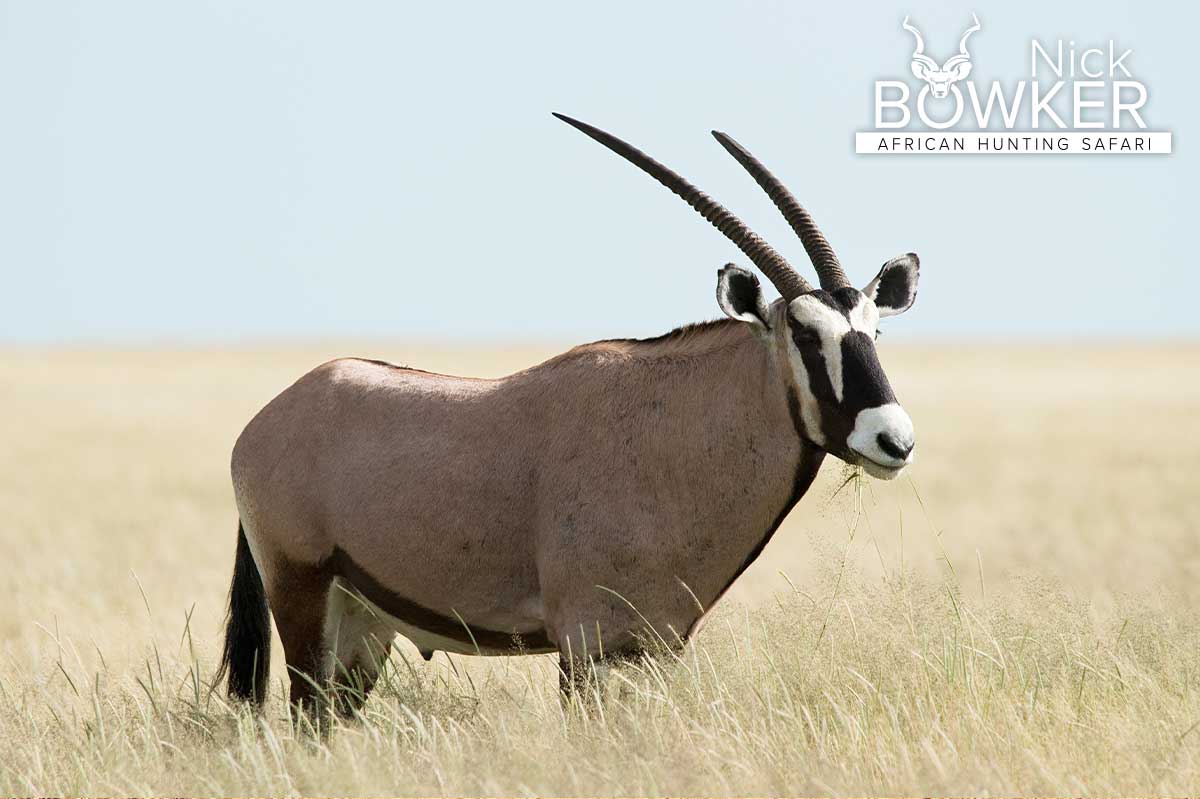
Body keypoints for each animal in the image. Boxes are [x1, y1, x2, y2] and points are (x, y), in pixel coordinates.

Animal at [218, 110, 916, 715]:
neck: (675, 433)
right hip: (302, 596)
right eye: (804, 334)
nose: (895, 440)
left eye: (873, 330)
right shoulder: (584, 643)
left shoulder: (655, 646)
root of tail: (265, 421)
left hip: (361, 628)